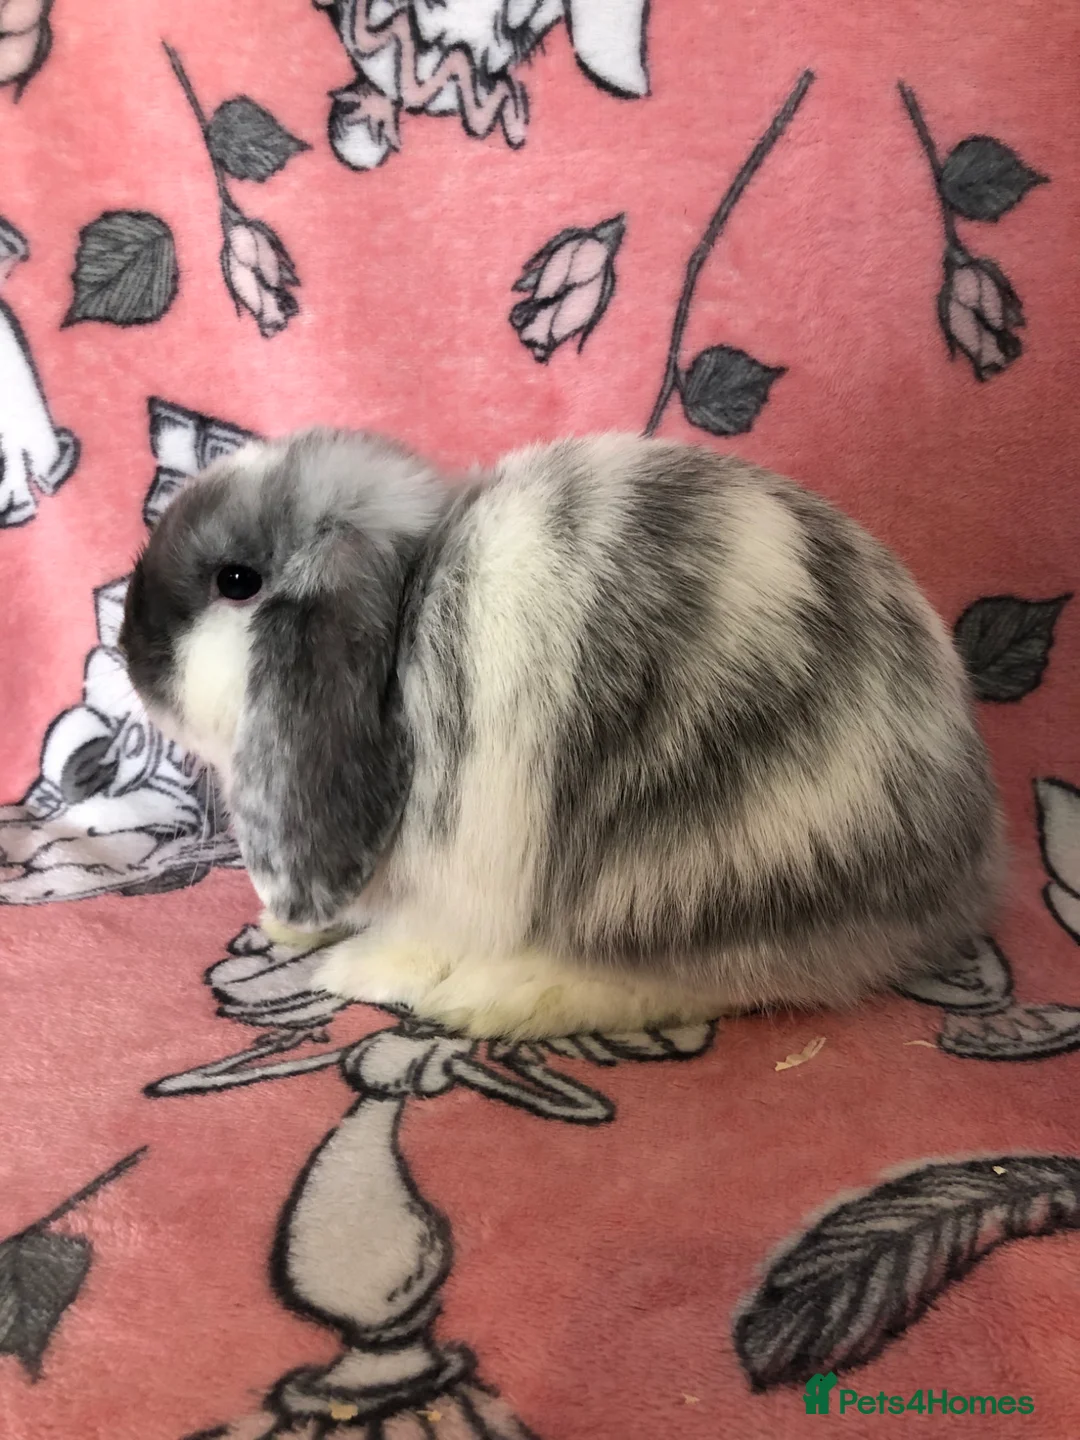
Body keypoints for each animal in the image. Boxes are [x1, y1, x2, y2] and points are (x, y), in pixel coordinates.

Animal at [119, 429, 1002, 1040]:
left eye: (238, 582)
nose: (130, 655)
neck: (406, 613)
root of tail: (959, 880)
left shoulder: (460, 870)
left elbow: (417, 932)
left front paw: (356, 968)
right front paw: (286, 927)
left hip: (688, 877)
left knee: (699, 981)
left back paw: (499, 998)